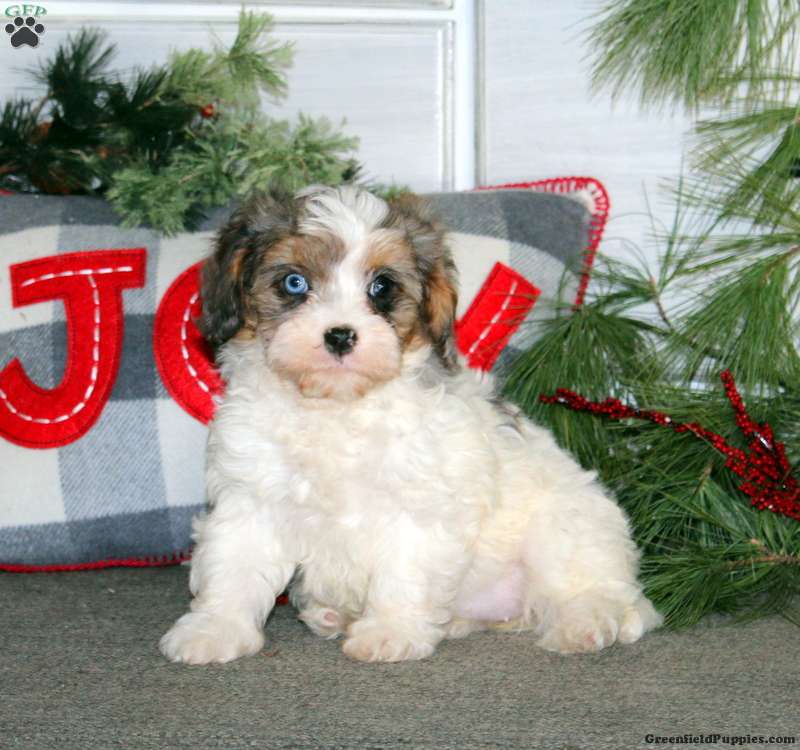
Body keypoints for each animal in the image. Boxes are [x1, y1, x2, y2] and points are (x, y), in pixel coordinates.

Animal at [159, 185, 662, 665]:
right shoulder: (252, 497)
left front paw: (390, 633)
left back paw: (585, 623)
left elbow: (402, 573)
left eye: (382, 287)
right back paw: (338, 615)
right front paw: (214, 630)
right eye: (294, 282)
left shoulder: (419, 506)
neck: (337, 406)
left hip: (564, 530)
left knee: (598, 593)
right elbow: (234, 566)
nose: (340, 336)